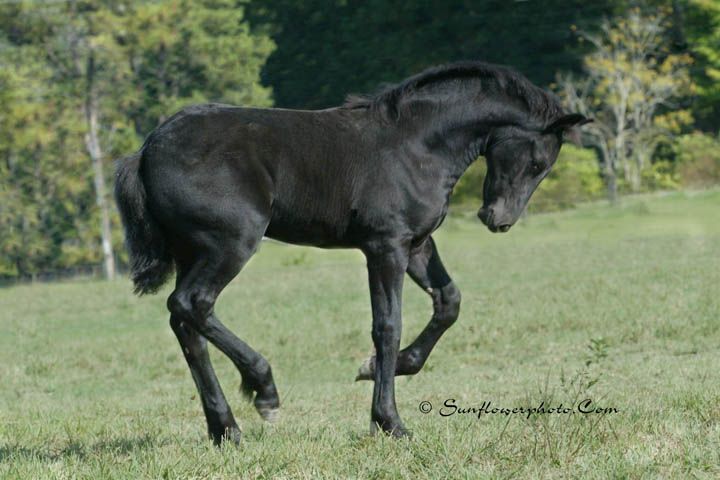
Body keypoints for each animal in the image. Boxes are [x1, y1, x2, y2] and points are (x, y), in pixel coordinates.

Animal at [115, 60, 591, 445]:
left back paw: (226, 429)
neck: (418, 144)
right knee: (191, 304)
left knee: (186, 325)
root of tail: (147, 150)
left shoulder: (416, 244)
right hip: (231, 242)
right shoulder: (385, 245)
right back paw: (263, 389)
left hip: (192, 251)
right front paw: (389, 422)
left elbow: (448, 302)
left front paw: (383, 368)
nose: (498, 220)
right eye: (537, 163)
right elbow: (387, 327)